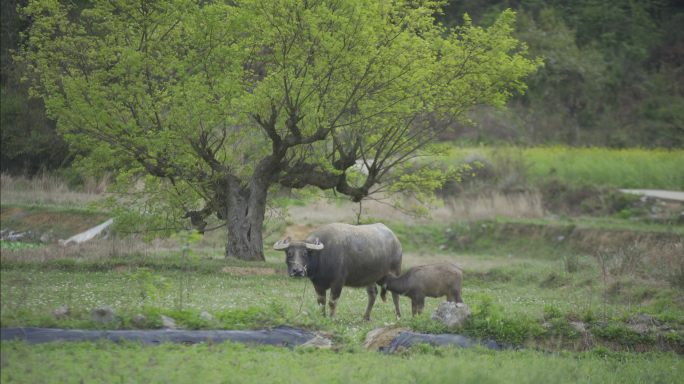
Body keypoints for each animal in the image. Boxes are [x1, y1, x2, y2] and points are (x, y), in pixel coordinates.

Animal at [272, 222, 400, 320]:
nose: (297, 271)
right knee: (372, 294)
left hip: (394, 272)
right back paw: (365, 317)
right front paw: (322, 317)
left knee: (395, 294)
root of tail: (395, 240)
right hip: (370, 277)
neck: (322, 256)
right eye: (289, 253)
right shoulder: (317, 284)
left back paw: (398, 316)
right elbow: (321, 301)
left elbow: (332, 301)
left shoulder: (338, 282)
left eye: (304, 253)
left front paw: (331, 318)